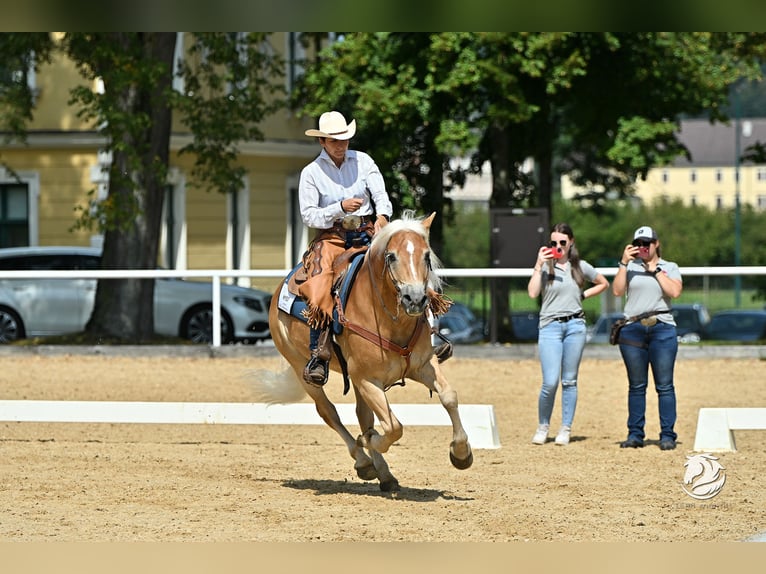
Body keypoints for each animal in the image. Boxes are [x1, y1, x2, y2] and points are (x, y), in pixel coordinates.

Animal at [254, 214, 474, 492]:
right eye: (391, 256)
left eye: (426, 256)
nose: (415, 299)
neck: (390, 321)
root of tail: (277, 294)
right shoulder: (368, 380)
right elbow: (393, 427)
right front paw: (368, 441)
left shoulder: (423, 366)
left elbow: (449, 397)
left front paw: (461, 453)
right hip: (302, 367)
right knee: (329, 412)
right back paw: (364, 461)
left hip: (357, 380)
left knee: (362, 415)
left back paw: (384, 473)